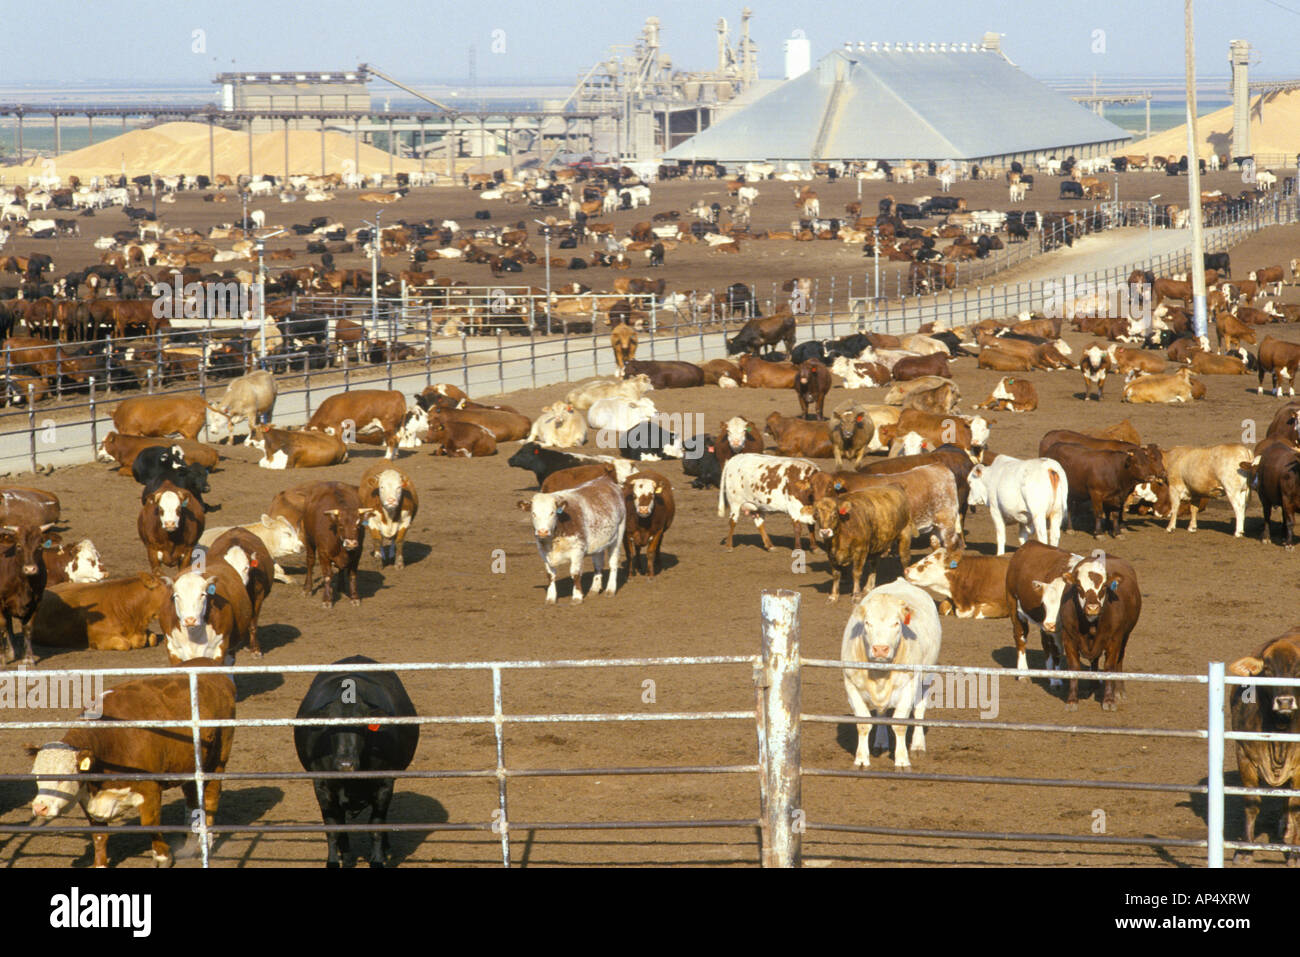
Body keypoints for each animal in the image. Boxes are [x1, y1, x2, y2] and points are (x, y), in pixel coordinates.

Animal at [27, 667, 236, 868]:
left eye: (64, 777)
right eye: (36, 776)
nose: (39, 808)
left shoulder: (150, 789)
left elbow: (150, 824)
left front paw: (162, 857)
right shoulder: (88, 798)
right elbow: (99, 834)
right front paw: (100, 864)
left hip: (217, 761)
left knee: (210, 799)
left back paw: (204, 844)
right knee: (192, 797)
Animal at [293, 656, 420, 868]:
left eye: (363, 725)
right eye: (330, 725)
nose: (346, 764)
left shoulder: (384, 785)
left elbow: (376, 826)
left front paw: (377, 860)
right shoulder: (322, 786)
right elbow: (333, 828)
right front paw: (333, 861)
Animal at [841, 579, 942, 768]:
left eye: (896, 623)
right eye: (867, 623)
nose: (880, 649)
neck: (879, 675)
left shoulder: (910, 685)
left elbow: (900, 723)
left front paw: (902, 760)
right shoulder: (851, 685)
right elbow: (863, 723)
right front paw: (861, 759)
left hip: (926, 678)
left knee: (919, 710)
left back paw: (918, 746)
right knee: (881, 713)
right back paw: (881, 743)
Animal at [1054, 551, 1141, 711]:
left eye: (1104, 587)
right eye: (1078, 586)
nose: (1093, 608)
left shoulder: (1114, 639)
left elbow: (1109, 667)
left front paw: (1109, 700)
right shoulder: (1068, 637)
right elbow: (1074, 667)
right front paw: (1072, 700)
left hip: (1125, 636)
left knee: (1119, 659)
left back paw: (1119, 690)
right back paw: (1093, 685)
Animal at [1228, 631, 1300, 865]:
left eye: (1298, 668)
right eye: (1267, 669)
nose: (1285, 701)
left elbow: (1295, 805)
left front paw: (1294, 854)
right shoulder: (1244, 756)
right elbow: (1252, 803)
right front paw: (1245, 850)